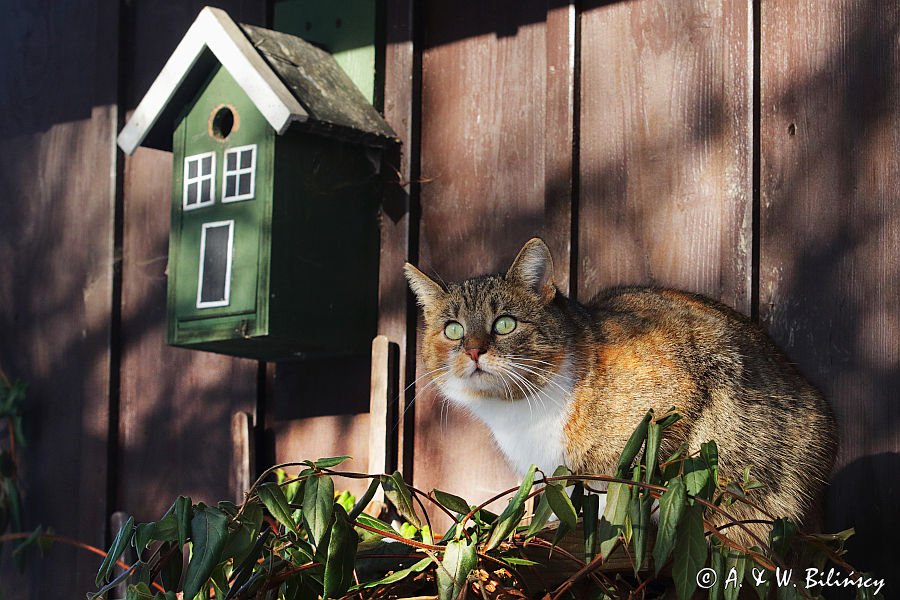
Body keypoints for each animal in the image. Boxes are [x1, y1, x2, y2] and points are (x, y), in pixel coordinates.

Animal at [404, 237, 840, 540]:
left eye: (505, 324)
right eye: (453, 330)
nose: (474, 350)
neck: (522, 409)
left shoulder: (671, 404)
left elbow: (634, 482)